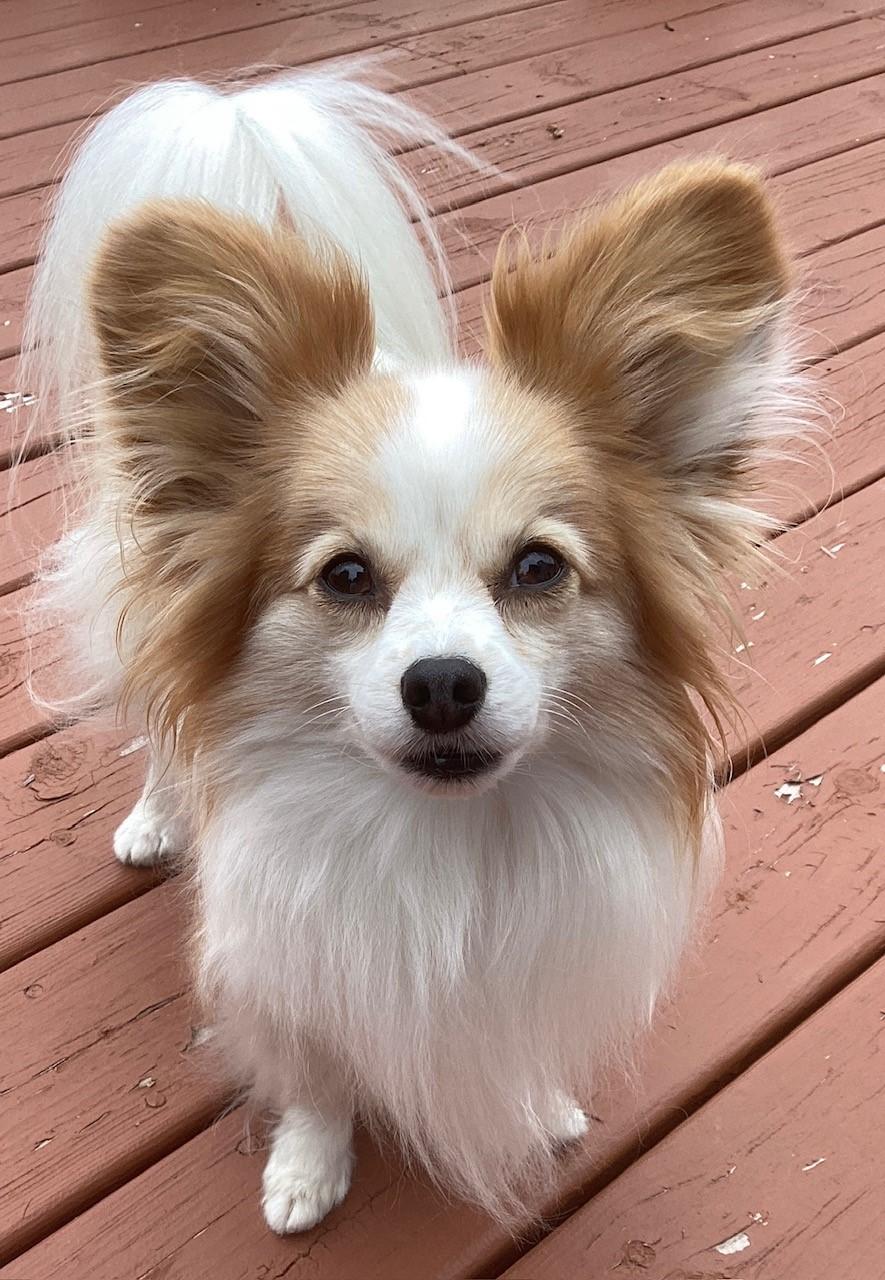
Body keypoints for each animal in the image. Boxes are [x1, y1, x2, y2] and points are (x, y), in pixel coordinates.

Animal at [22, 67, 794, 1228]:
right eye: (346, 576)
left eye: (537, 567)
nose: (440, 684)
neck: (445, 853)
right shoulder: (278, 962)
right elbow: (316, 1076)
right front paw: (306, 1167)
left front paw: (536, 1107)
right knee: (158, 732)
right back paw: (156, 819)